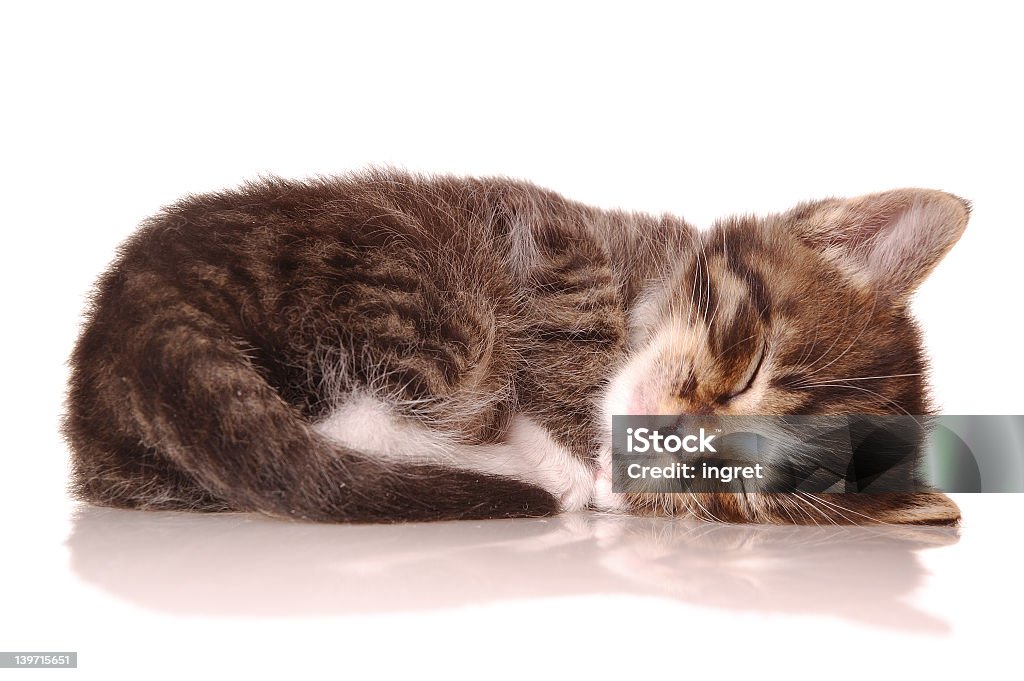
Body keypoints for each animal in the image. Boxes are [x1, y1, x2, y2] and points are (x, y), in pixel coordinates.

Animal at [64, 168, 966, 520]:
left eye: (732, 479)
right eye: (747, 368)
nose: (673, 436)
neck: (646, 280)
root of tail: (131, 305)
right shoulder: (553, 241)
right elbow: (571, 320)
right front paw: (578, 454)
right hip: (421, 281)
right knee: (358, 414)